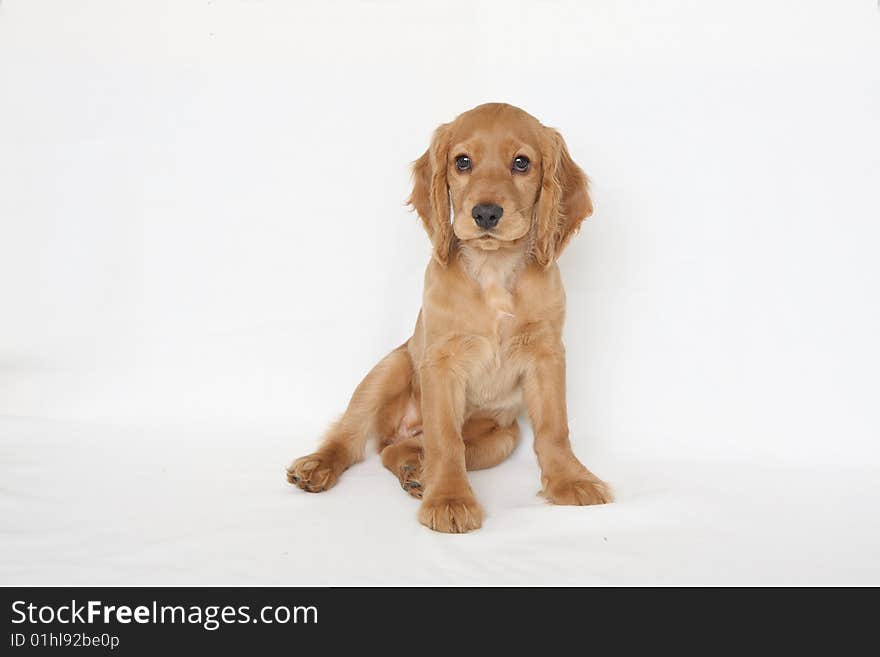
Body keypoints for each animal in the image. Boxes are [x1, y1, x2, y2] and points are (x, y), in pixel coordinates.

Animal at [288, 104, 612, 532]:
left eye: (521, 163)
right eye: (462, 162)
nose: (486, 213)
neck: (493, 270)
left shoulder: (547, 354)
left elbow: (554, 428)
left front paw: (572, 480)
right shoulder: (441, 361)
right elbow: (445, 439)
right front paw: (449, 499)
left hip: (502, 436)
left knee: (399, 451)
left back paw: (414, 472)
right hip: (389, 369)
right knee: (351, 437)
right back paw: (318, 466)